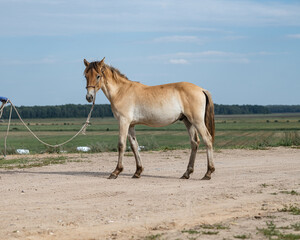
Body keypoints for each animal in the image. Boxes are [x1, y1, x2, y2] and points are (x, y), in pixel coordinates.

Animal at [84, 57, 214, 179]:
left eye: (98, 76)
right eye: (85, 75)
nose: (89, 97)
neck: (121, 91)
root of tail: (201, 89)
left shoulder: (123, 122)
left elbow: (121, 145)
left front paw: (116, 171)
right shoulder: (131, 125)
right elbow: (134, 146)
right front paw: (138, 171)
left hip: (197, 121)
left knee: (207, 139)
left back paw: (208, 172)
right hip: (188, 122)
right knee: (194, 143)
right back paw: (187, 173)